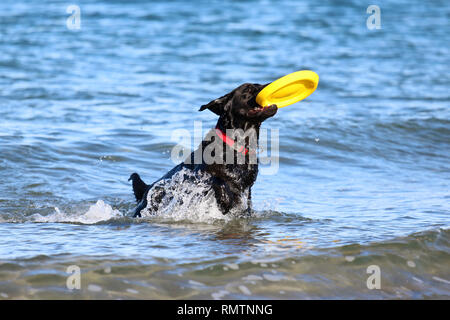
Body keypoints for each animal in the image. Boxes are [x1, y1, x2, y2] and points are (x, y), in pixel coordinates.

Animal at [127, 82, 278, 218]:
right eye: (248, 89)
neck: (237, 146)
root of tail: (146, 189)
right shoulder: (202, 177)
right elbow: (219, 182)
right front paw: (225, 201)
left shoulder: (247, 187)